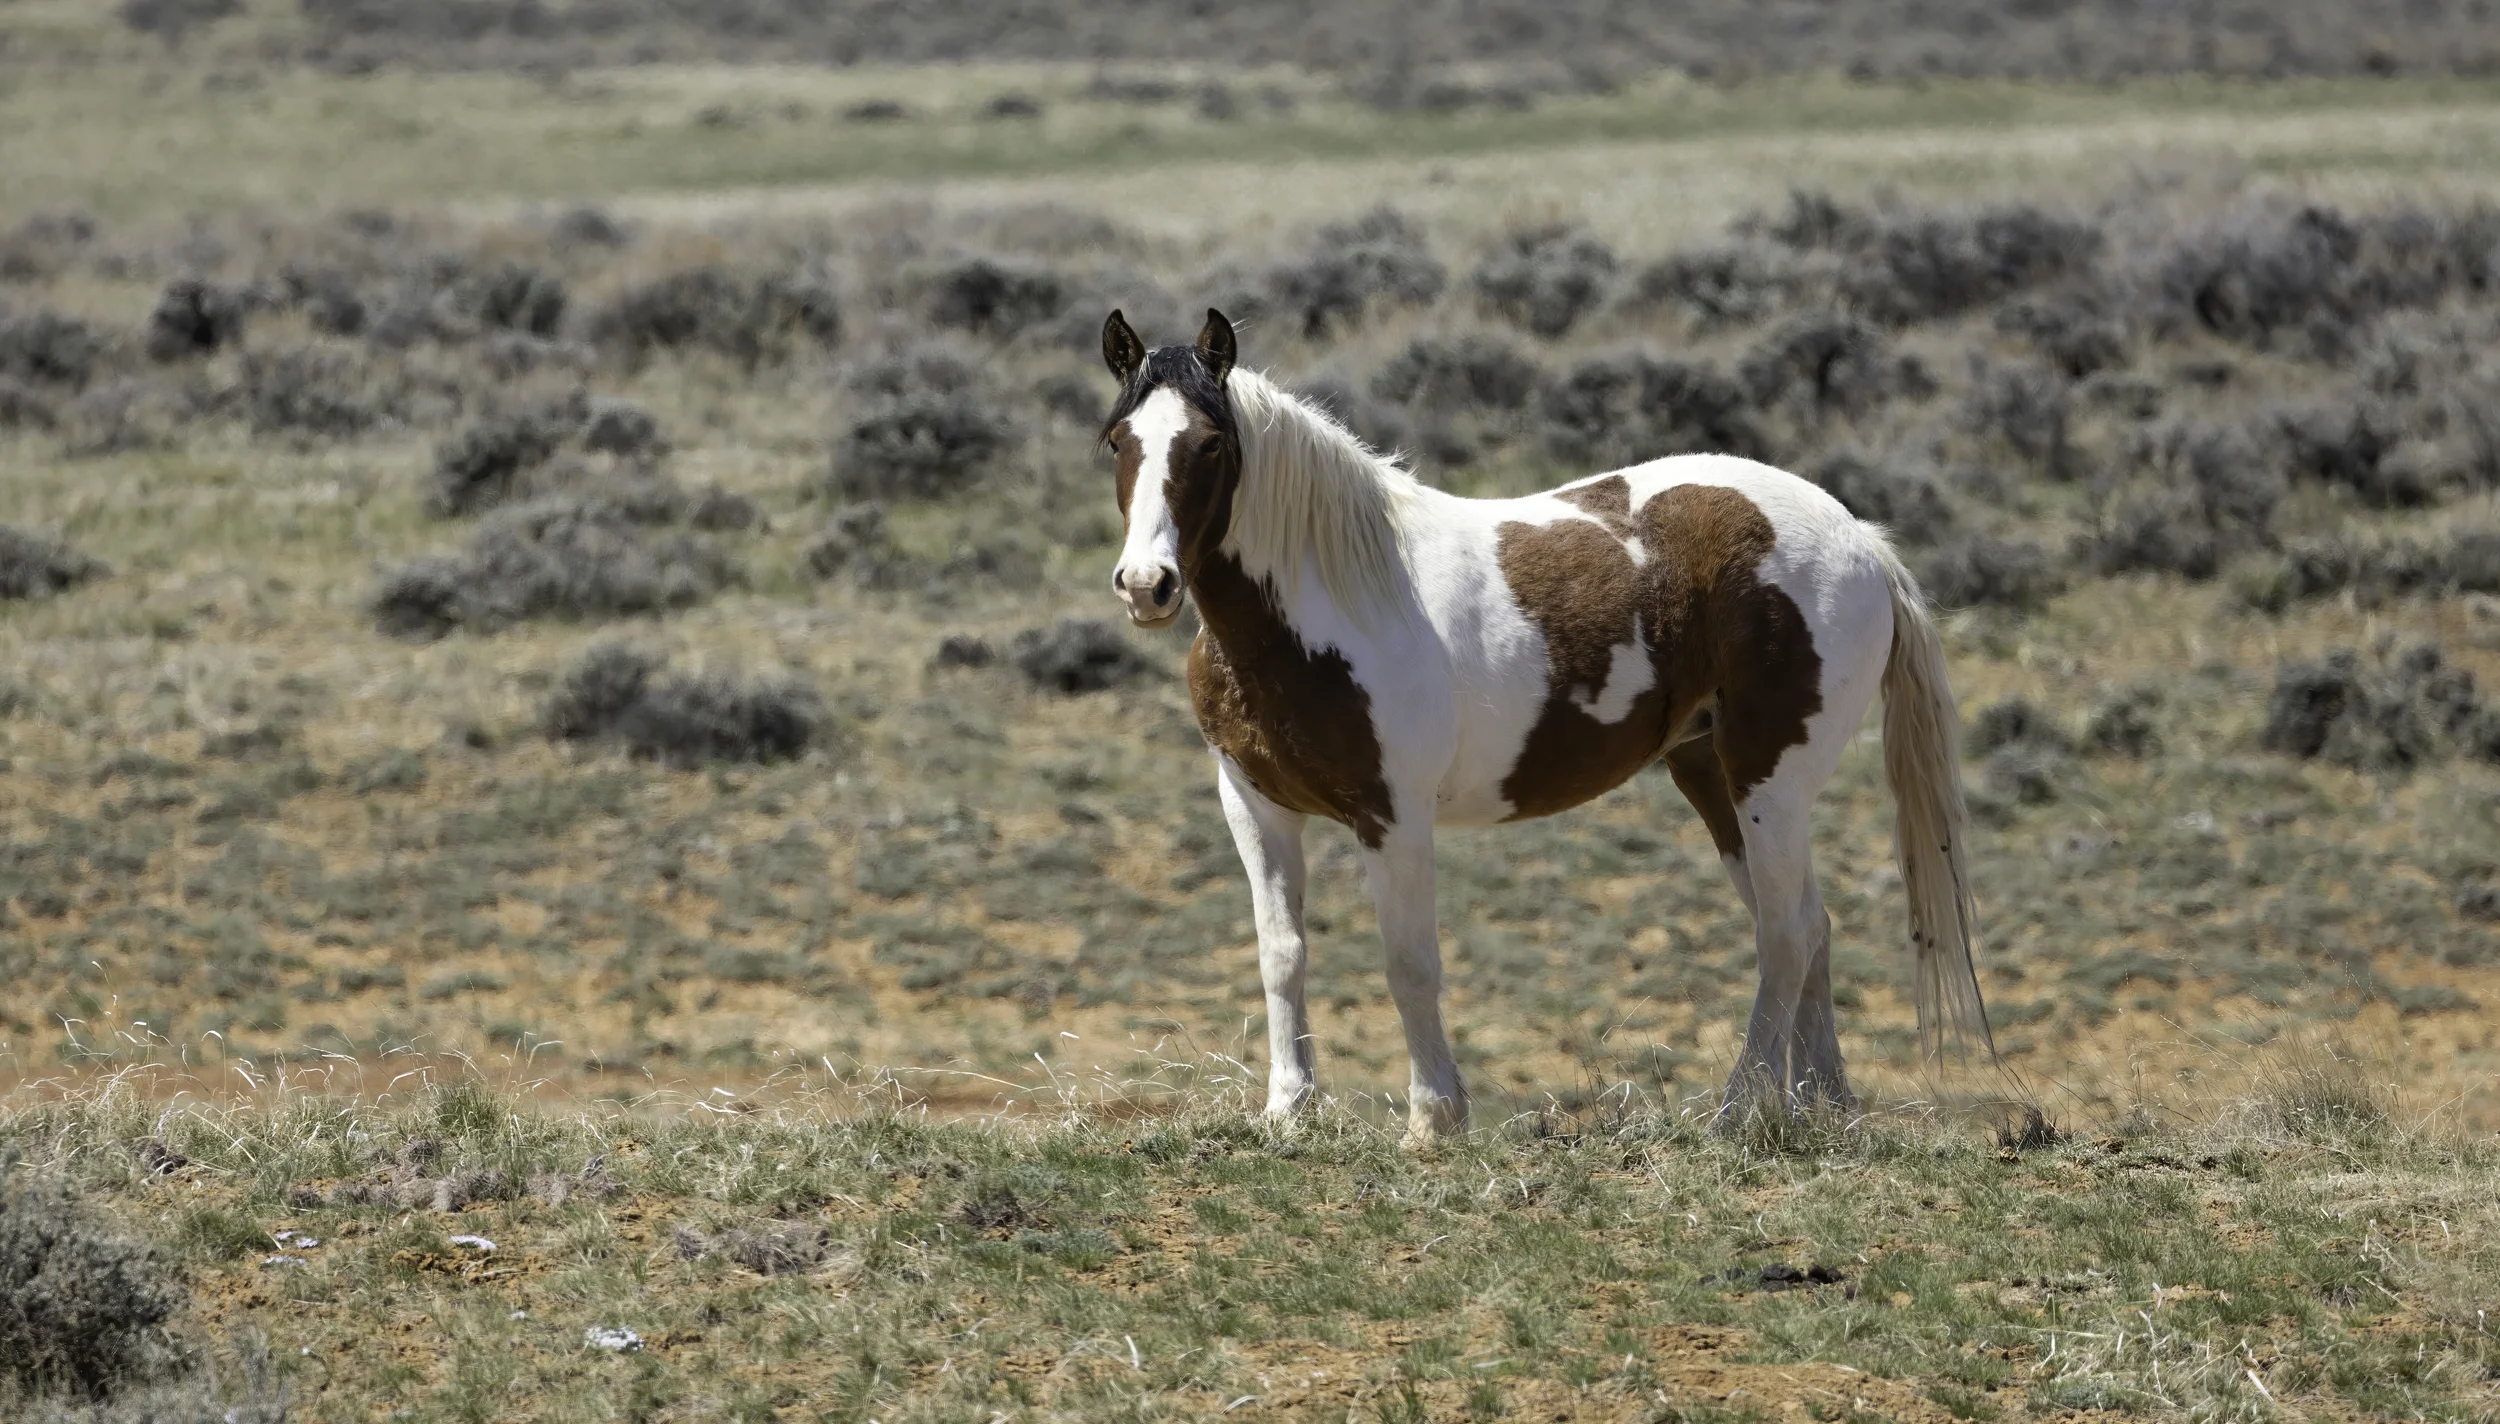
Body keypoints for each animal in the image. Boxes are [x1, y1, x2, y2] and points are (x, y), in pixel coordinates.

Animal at [1096, 307, 1994, 1143]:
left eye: (1211, 443)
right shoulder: (1256, 806)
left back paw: (1739, 1110)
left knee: (1786, 936)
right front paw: (1289, 1111)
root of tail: (1860, 537)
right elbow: (1281, 954)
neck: (1328, 607)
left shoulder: (1393, 817)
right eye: (1116, 442)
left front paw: (1434, 1119)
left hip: (1772, 780)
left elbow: (1409, 963)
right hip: (1717, 778)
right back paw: (1822, 1104)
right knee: (1809, 929)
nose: (1147, 585)